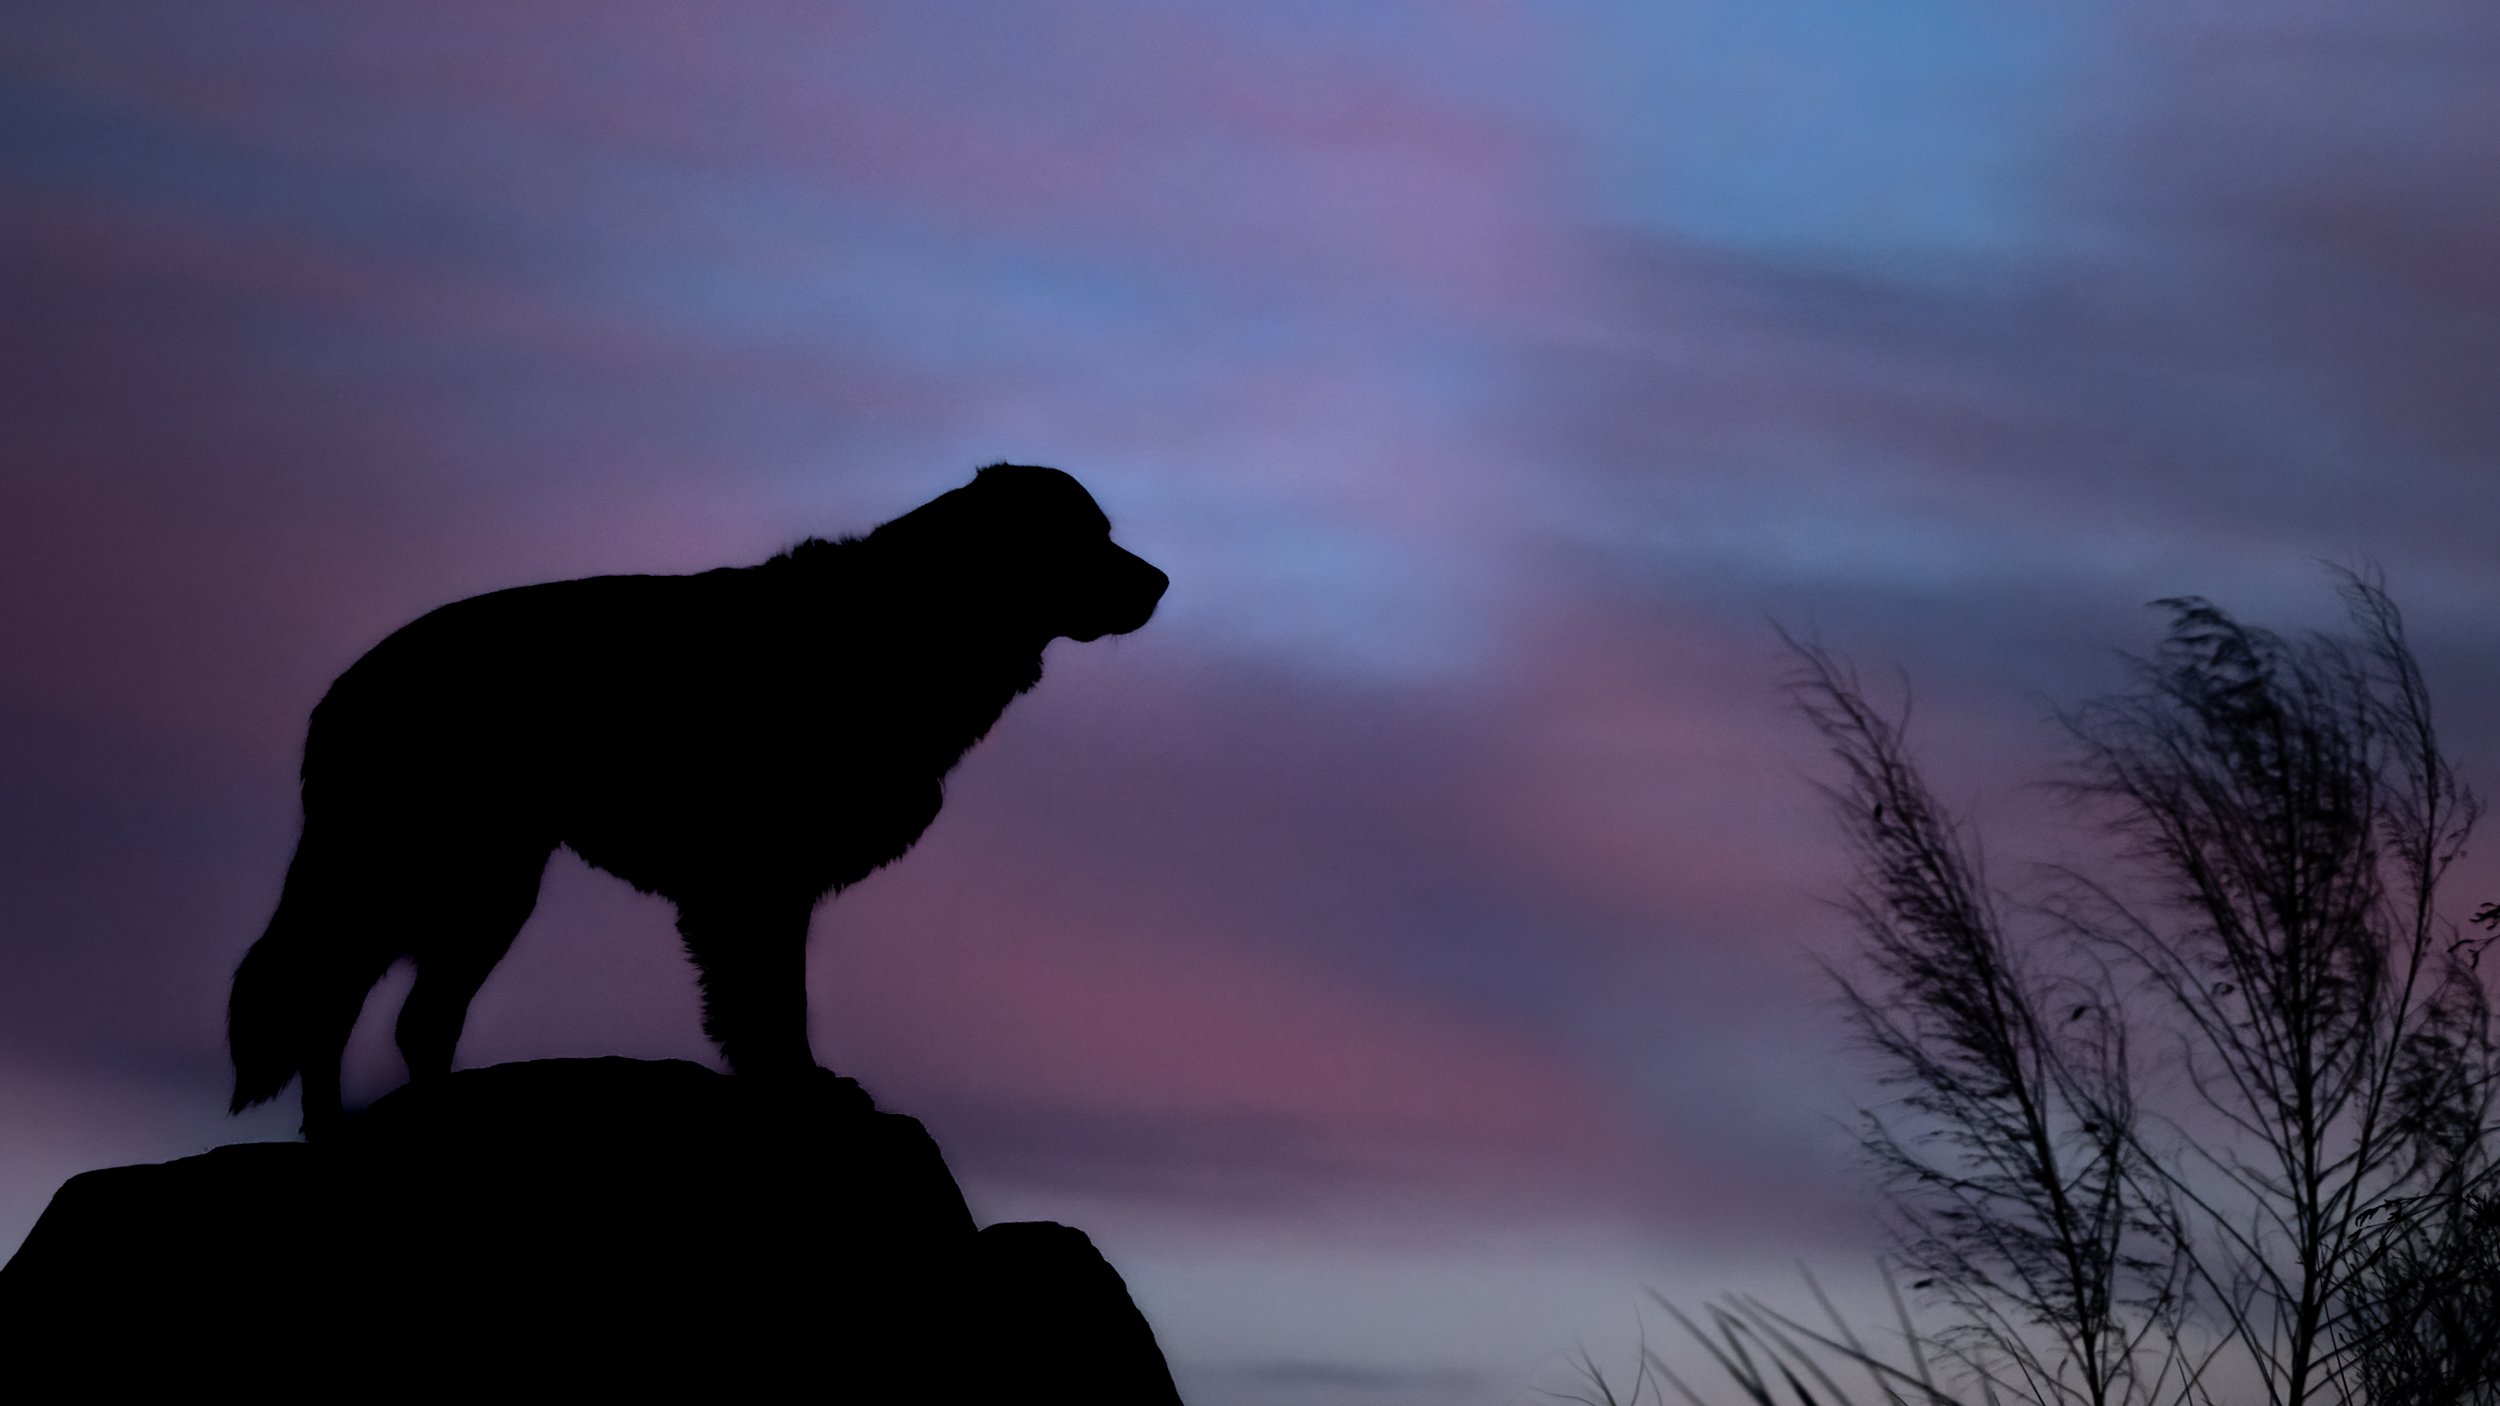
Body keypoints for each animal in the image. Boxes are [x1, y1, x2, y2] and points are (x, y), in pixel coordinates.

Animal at [225, 462, 1160, 1125]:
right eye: (1086, 536)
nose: (1161, 584)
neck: (913, 622)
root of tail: (342, 693)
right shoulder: (753, 884)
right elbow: (772, 1002)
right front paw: (799, 1086)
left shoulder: (766, 884)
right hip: (430, 874)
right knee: (333, 996)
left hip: (478, 887)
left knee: (400, 1013)